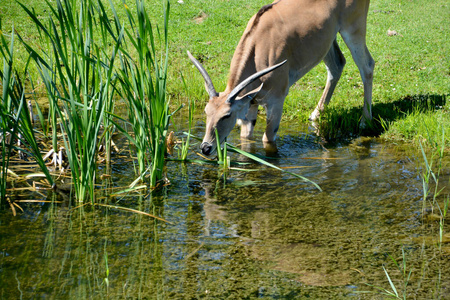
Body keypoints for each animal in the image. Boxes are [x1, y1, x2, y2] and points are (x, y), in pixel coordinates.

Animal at [188, 0, 374, 155]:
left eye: (227, 115)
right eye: (206, 111)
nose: (206, 148)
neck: (259, 47)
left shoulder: (276, 101)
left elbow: (267, 139)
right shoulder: (252, 104)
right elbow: (246, 138)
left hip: (354, 30)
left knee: (367, 66)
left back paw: (365, 121)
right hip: (327, 41)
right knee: (337, 65)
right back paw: (315, 114)